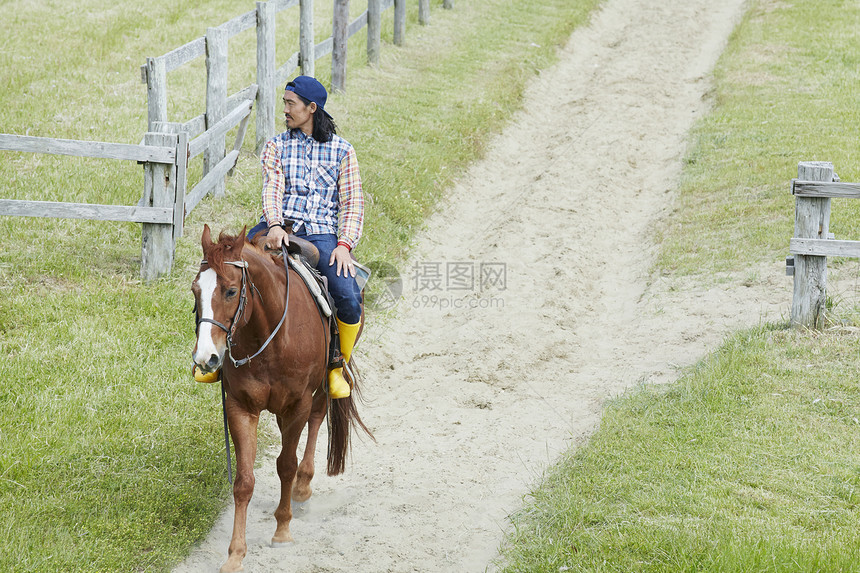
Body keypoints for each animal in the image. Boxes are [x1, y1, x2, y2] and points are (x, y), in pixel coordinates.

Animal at [193, 226, 368, 568]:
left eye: (231, 291)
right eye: (196, 291)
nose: (206, 358)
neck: (271, 335)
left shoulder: (297, 404)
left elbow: (286, 464)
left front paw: (282, 531)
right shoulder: (240, 407)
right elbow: (244, 481)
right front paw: (235, 554)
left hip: (321, 386)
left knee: (317, 418)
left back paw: (302, 487)